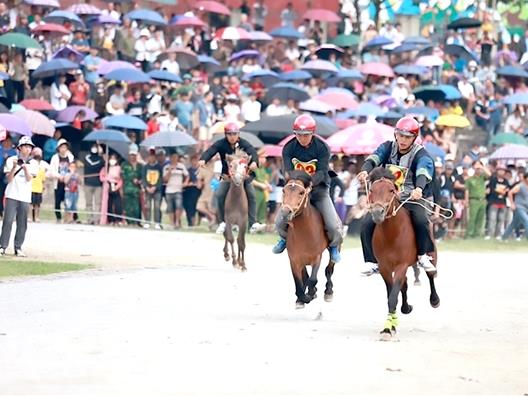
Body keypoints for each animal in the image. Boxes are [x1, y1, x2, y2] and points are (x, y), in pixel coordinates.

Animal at [278, 170, 336, 310]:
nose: (285, 212)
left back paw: (328, 291)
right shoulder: (294, 260)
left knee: (329, 269)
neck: (304, 233)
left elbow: (313, 279)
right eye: (283, 190)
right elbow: (299, 283)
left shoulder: (317, 257)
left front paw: (311, 293)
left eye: (301, 192)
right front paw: (302, 298)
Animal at [368, 167, 442, 340]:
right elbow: (392, 294)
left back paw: (434, 300)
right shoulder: (385, 267)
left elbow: (393, 296)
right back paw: (406, 307)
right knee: (405, 284)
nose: (378, 212)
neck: (391, 234)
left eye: (391, 190)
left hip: (432, 253)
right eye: (372, 190)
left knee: (431, 275)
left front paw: (388, 329)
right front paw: (391, 326)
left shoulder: (401, 265)